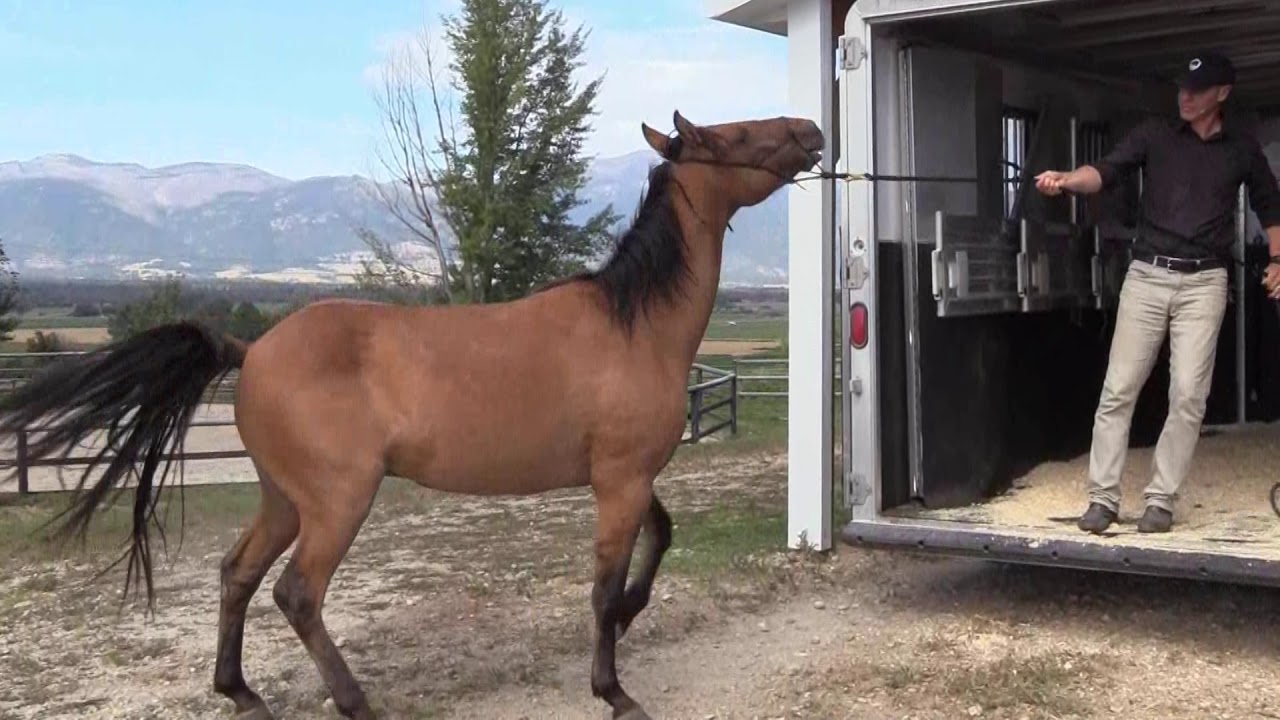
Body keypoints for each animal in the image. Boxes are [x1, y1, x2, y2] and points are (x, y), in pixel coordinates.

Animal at [0, 109, 824, 720]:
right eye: (733, 136)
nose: (812, 130)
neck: (633, 325)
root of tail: (253, 348)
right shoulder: (619, 480)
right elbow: (604, 579)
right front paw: (613, 689)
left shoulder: (626, 477)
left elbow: (658, 543)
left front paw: (626, 617)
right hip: (337, 502)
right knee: (296, 593)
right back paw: (355, 702)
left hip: (284, 500)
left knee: (237, 574)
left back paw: (242, 693)